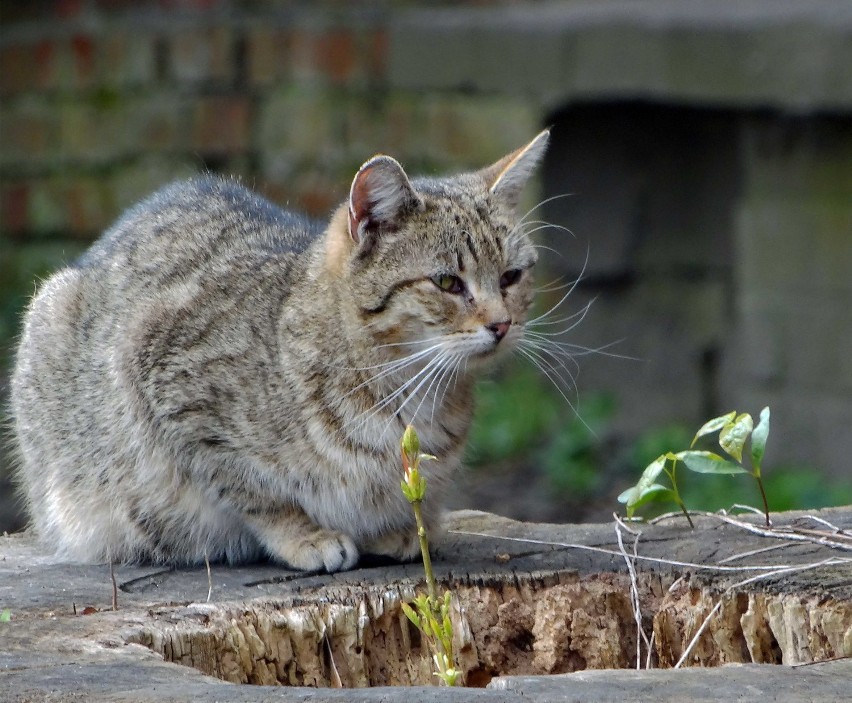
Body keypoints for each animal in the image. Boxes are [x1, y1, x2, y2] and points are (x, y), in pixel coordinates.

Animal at [11, 131, 552, 572]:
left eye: (511, 276)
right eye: (447, 282)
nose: (502, 324)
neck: (409, 389)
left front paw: (391, 529)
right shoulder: (164, 377)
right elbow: (254, 491)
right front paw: (304, 535)